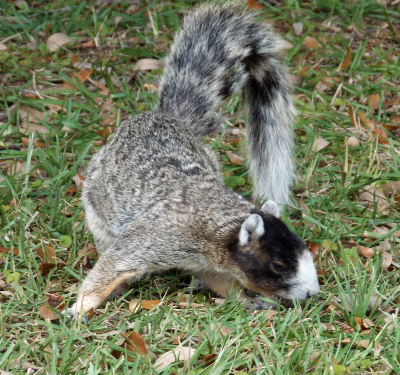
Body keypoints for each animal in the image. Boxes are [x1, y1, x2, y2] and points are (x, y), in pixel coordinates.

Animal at [67, 1, 320, 322]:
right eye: (277, 266)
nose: (312, 293)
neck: (219, 226)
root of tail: (166, 117)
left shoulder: (207, 263)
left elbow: (222, 282)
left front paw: (247, 300)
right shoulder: (158, 236)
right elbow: (113, 265)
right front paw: (79, 308)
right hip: (97, 206)